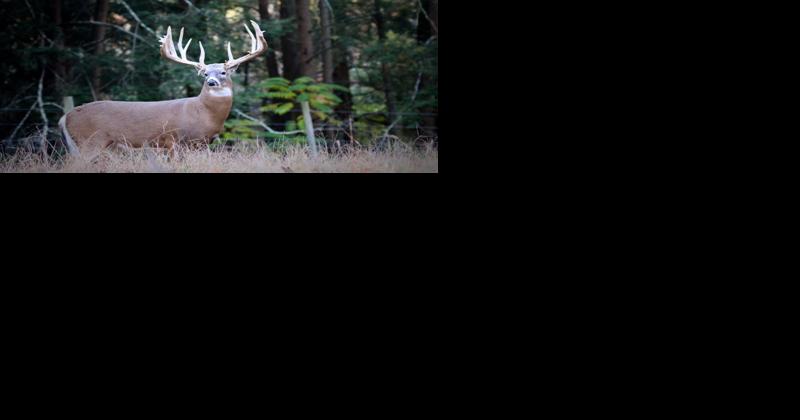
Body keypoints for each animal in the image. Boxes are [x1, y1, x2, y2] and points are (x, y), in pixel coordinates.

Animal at [59, 20, 268, 155]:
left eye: (223, 72)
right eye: (205, 73)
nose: (211, 82)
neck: (203, 113)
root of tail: (65, 117)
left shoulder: (203, 143)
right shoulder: (173, 140)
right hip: (89, 142)